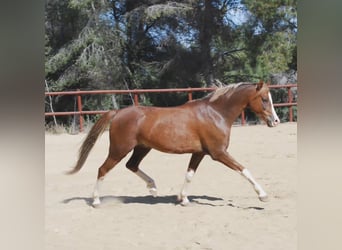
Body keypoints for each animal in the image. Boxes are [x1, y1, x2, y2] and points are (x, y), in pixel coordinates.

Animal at [67, 81, 280, 206]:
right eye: (264, 99)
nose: (276, 121)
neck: (215, 113)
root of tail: (118, 112)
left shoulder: (199, 153)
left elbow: (189, 174)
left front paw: (183, 198)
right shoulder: (218, 153)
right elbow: (244, 170)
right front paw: (263, 195)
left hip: (142, 148)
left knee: (132, 165)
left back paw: (153, 187)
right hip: (119, 149)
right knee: (103, 169)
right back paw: (96, 201)